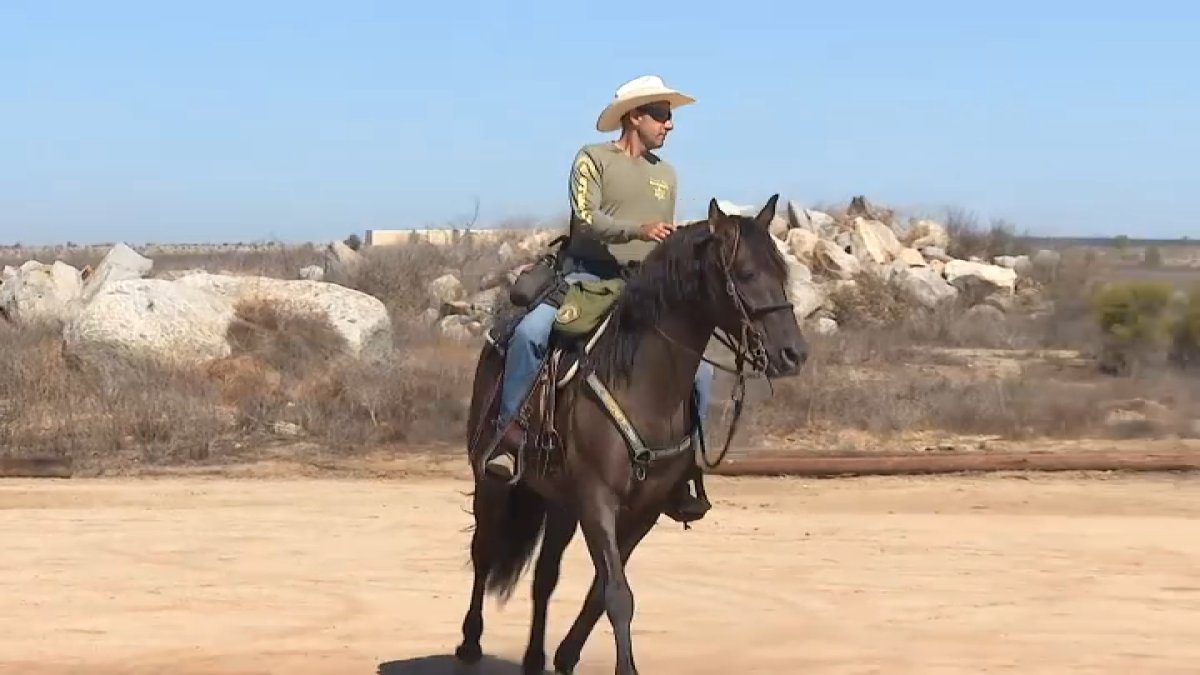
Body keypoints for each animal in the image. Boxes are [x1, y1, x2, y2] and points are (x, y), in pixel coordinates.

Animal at [453, 194, 809, 675]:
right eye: (746, 273)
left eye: (781, 272)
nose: (793, 353)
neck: (643, 382)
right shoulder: (598, 500)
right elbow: (618, 595)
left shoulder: (644, 510)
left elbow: (601, 591)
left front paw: (566, 656)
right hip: (491, 481)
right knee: (483, 552)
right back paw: (470, 643)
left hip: (559, 502)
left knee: (545, 577)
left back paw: (534, 658)